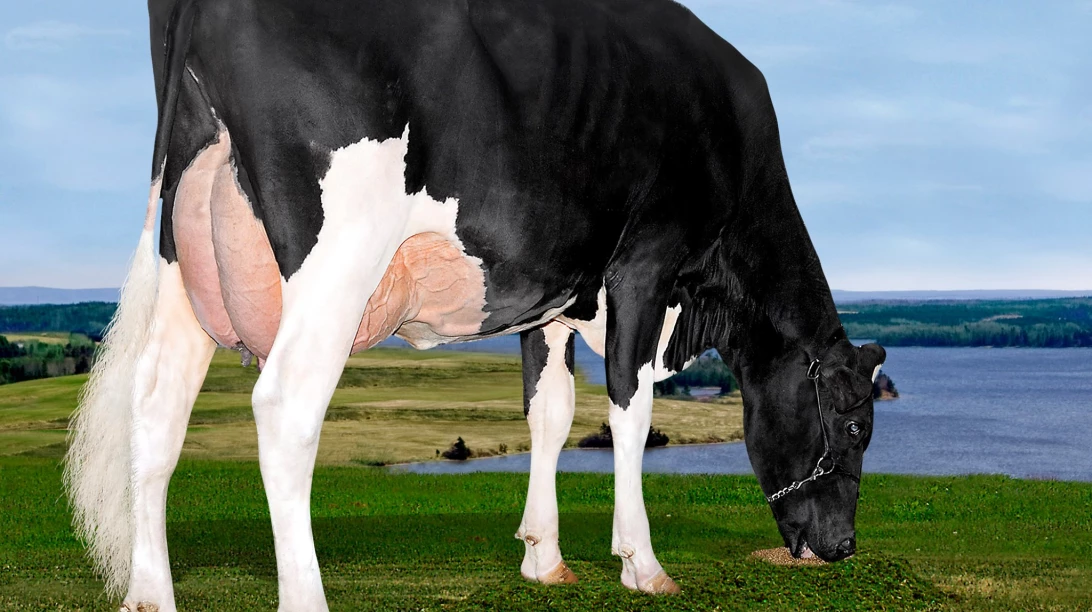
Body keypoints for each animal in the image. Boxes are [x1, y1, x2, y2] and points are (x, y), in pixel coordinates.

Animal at [63, 0, 886, 609]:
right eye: (854, 424)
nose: (843, 548)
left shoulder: (554, 295)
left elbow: (549, 413)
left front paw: (544, 558)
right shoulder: (646, 264)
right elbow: (629, 407)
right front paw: (642, 564)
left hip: (185, 244)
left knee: (156, 407)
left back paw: (150, 595)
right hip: (338, 253)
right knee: (285, 405)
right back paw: (305, 596)